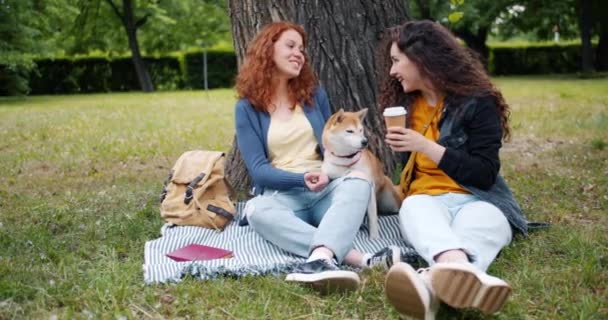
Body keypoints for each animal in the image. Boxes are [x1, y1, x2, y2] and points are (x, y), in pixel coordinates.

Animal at [320, 109, 402, 239]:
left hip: (390, 201)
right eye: (349, 131)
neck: (346, 162)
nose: (365, 141)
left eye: (360, 130)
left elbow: (372, 217)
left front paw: (374, 237)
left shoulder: (370, 187)